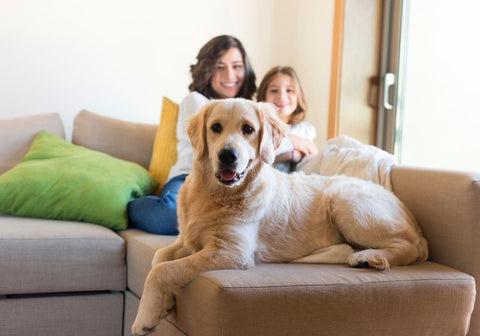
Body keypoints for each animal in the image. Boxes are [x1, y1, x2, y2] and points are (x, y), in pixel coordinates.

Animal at [131, 98, 428, 334]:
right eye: (215, 127)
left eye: (248, 129)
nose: (228, 155)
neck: (214, 194)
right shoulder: (186, 239)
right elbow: (159, 258)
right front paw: (164, 302)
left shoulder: (233, 251)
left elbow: (163, 270)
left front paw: (144, 317)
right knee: (345, 249)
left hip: (345, 202)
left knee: (406, 247)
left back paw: (369, 257)